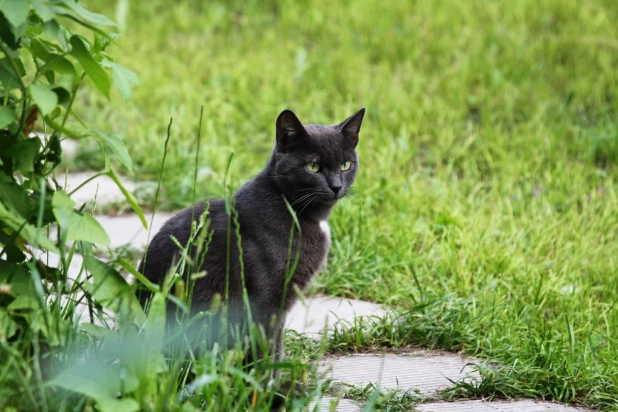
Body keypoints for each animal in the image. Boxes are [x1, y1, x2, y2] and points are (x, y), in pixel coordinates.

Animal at [137, 108, 364, 362]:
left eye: (346, 165)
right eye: (313, 167)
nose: (336, 186)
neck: (295, 210)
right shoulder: (266, 299)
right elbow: (268, 342)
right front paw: (269, 372)